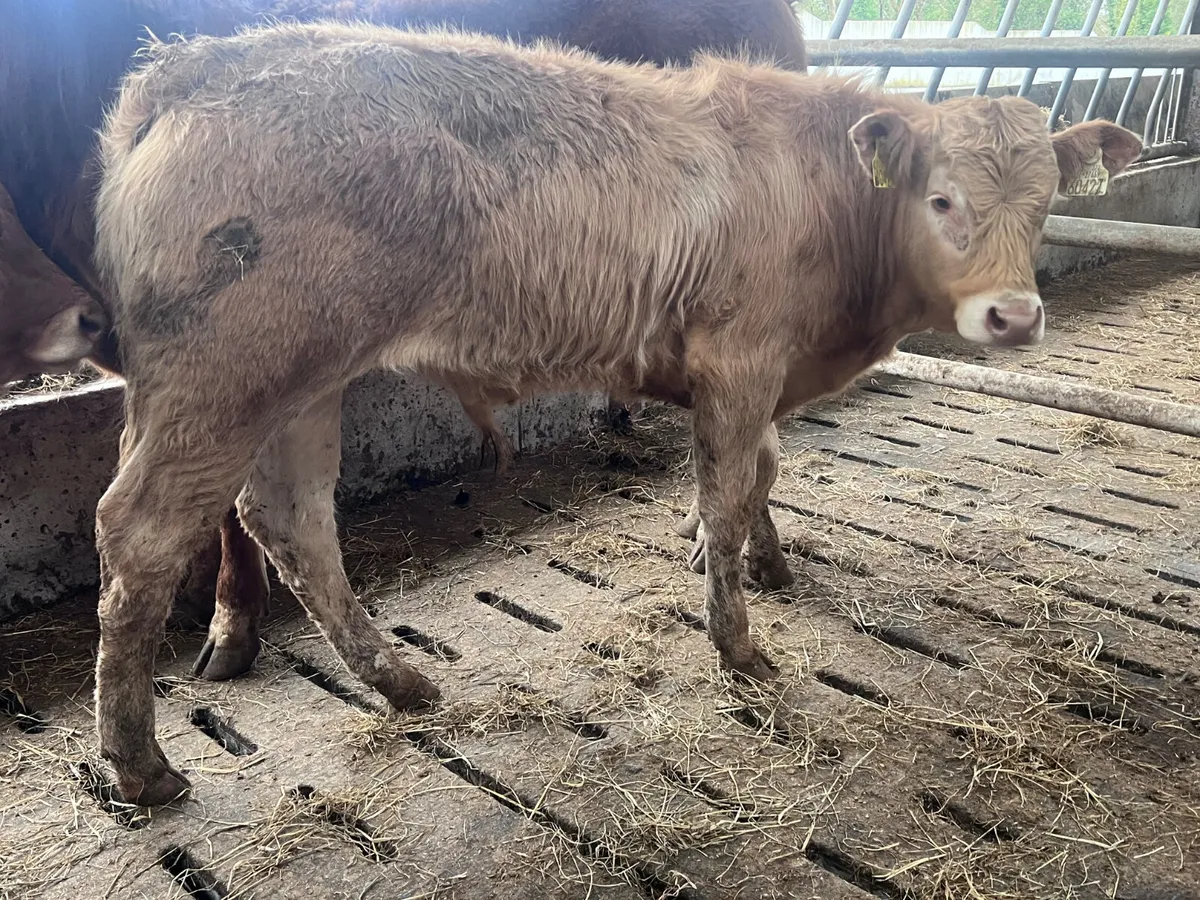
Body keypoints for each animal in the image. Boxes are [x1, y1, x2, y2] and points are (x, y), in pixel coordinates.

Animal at [89, 22, 1142, 806]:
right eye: (942, 198)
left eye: (1047, 202)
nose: (1013, 316)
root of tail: (187, 66)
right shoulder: (739, 360)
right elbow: (726, 494)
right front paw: (738, 643)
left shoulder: (757, 376)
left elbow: (760, 474)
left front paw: (768, 566)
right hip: (224, 380)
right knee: (144, 533)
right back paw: (142, 766)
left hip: (301, 383)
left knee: (292, 522)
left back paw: (401, 682)